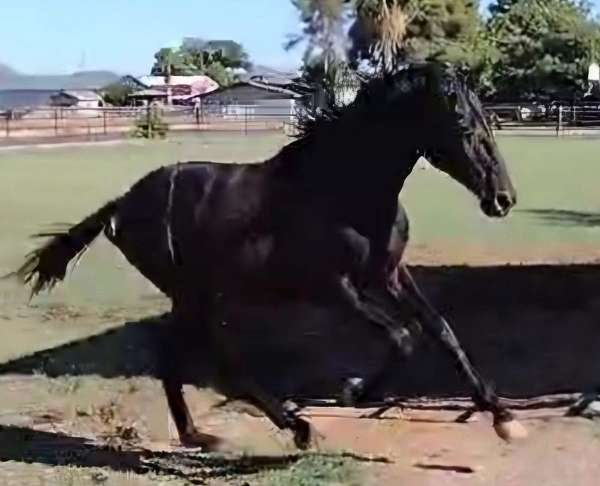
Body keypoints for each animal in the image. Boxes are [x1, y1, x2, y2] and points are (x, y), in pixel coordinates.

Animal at [11, 62, 524, 450]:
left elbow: (441, 331)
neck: (344, 190)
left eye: (488, 118)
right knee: (213, 360)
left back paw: (202, 435)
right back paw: (291, 428)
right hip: (193, 293)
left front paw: (502, 416)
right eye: (463, 124)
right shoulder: (333, 287)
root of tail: (121, 205)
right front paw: (354, 391)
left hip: (201, 295)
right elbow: (403, 335)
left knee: (188, 357)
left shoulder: (389, 274)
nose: (503, 199)